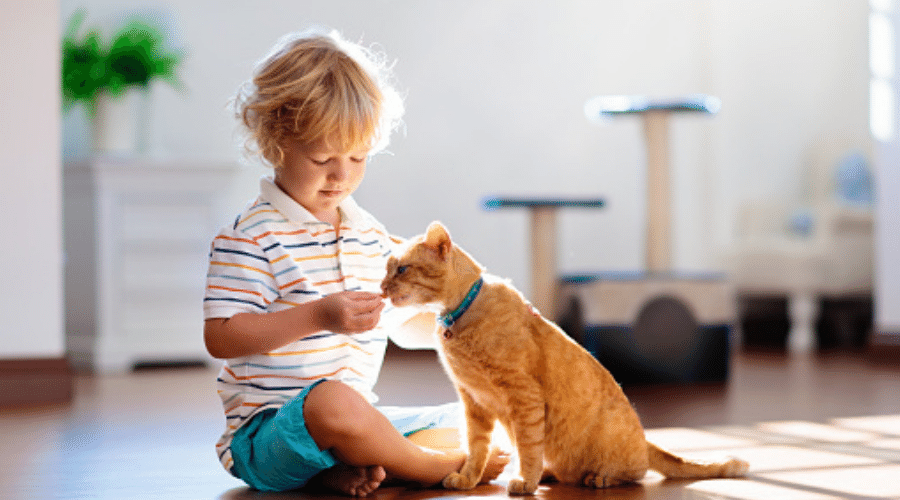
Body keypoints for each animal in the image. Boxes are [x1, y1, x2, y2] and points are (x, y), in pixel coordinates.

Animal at [384, 221, 748, 494]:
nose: (382, 287)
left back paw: (597, 478)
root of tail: (646, 440)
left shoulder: (524, 398)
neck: (458, 316)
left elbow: (528, 446)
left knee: (635, 474)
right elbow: (477, 449)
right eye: (387, 270)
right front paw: (469, 479)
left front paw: (525, 481)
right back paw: (548, 473)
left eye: (401, 269)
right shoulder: (474, 403)